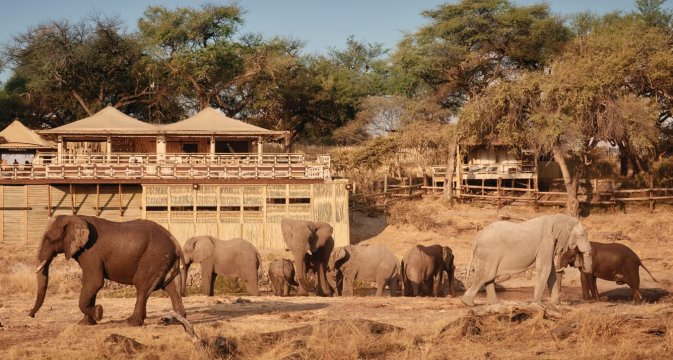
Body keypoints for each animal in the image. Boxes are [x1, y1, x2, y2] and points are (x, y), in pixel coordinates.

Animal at [28, 215, 185, 328]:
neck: (74, 217)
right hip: (164, 260)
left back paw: (130, 323)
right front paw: (86, 323)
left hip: (154, 256)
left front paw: (98, 312)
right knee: (172, 288)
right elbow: (91, 284)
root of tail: (175, 241)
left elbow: (94, 282)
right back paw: (178, 321)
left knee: (142, 287)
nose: (31, 315)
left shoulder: (90, 252)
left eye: (49, 239)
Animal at [460, 214, 592, 306]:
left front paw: (555, 304)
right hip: (488, 253)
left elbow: (551, 271)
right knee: (486, 275)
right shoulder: (546, 242)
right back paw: (468, 303)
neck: (559, 217)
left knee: (489, 277)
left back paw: (493, 304)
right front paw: (538, 304)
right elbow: (545, 269)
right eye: (582, 235)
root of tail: (476, 238)